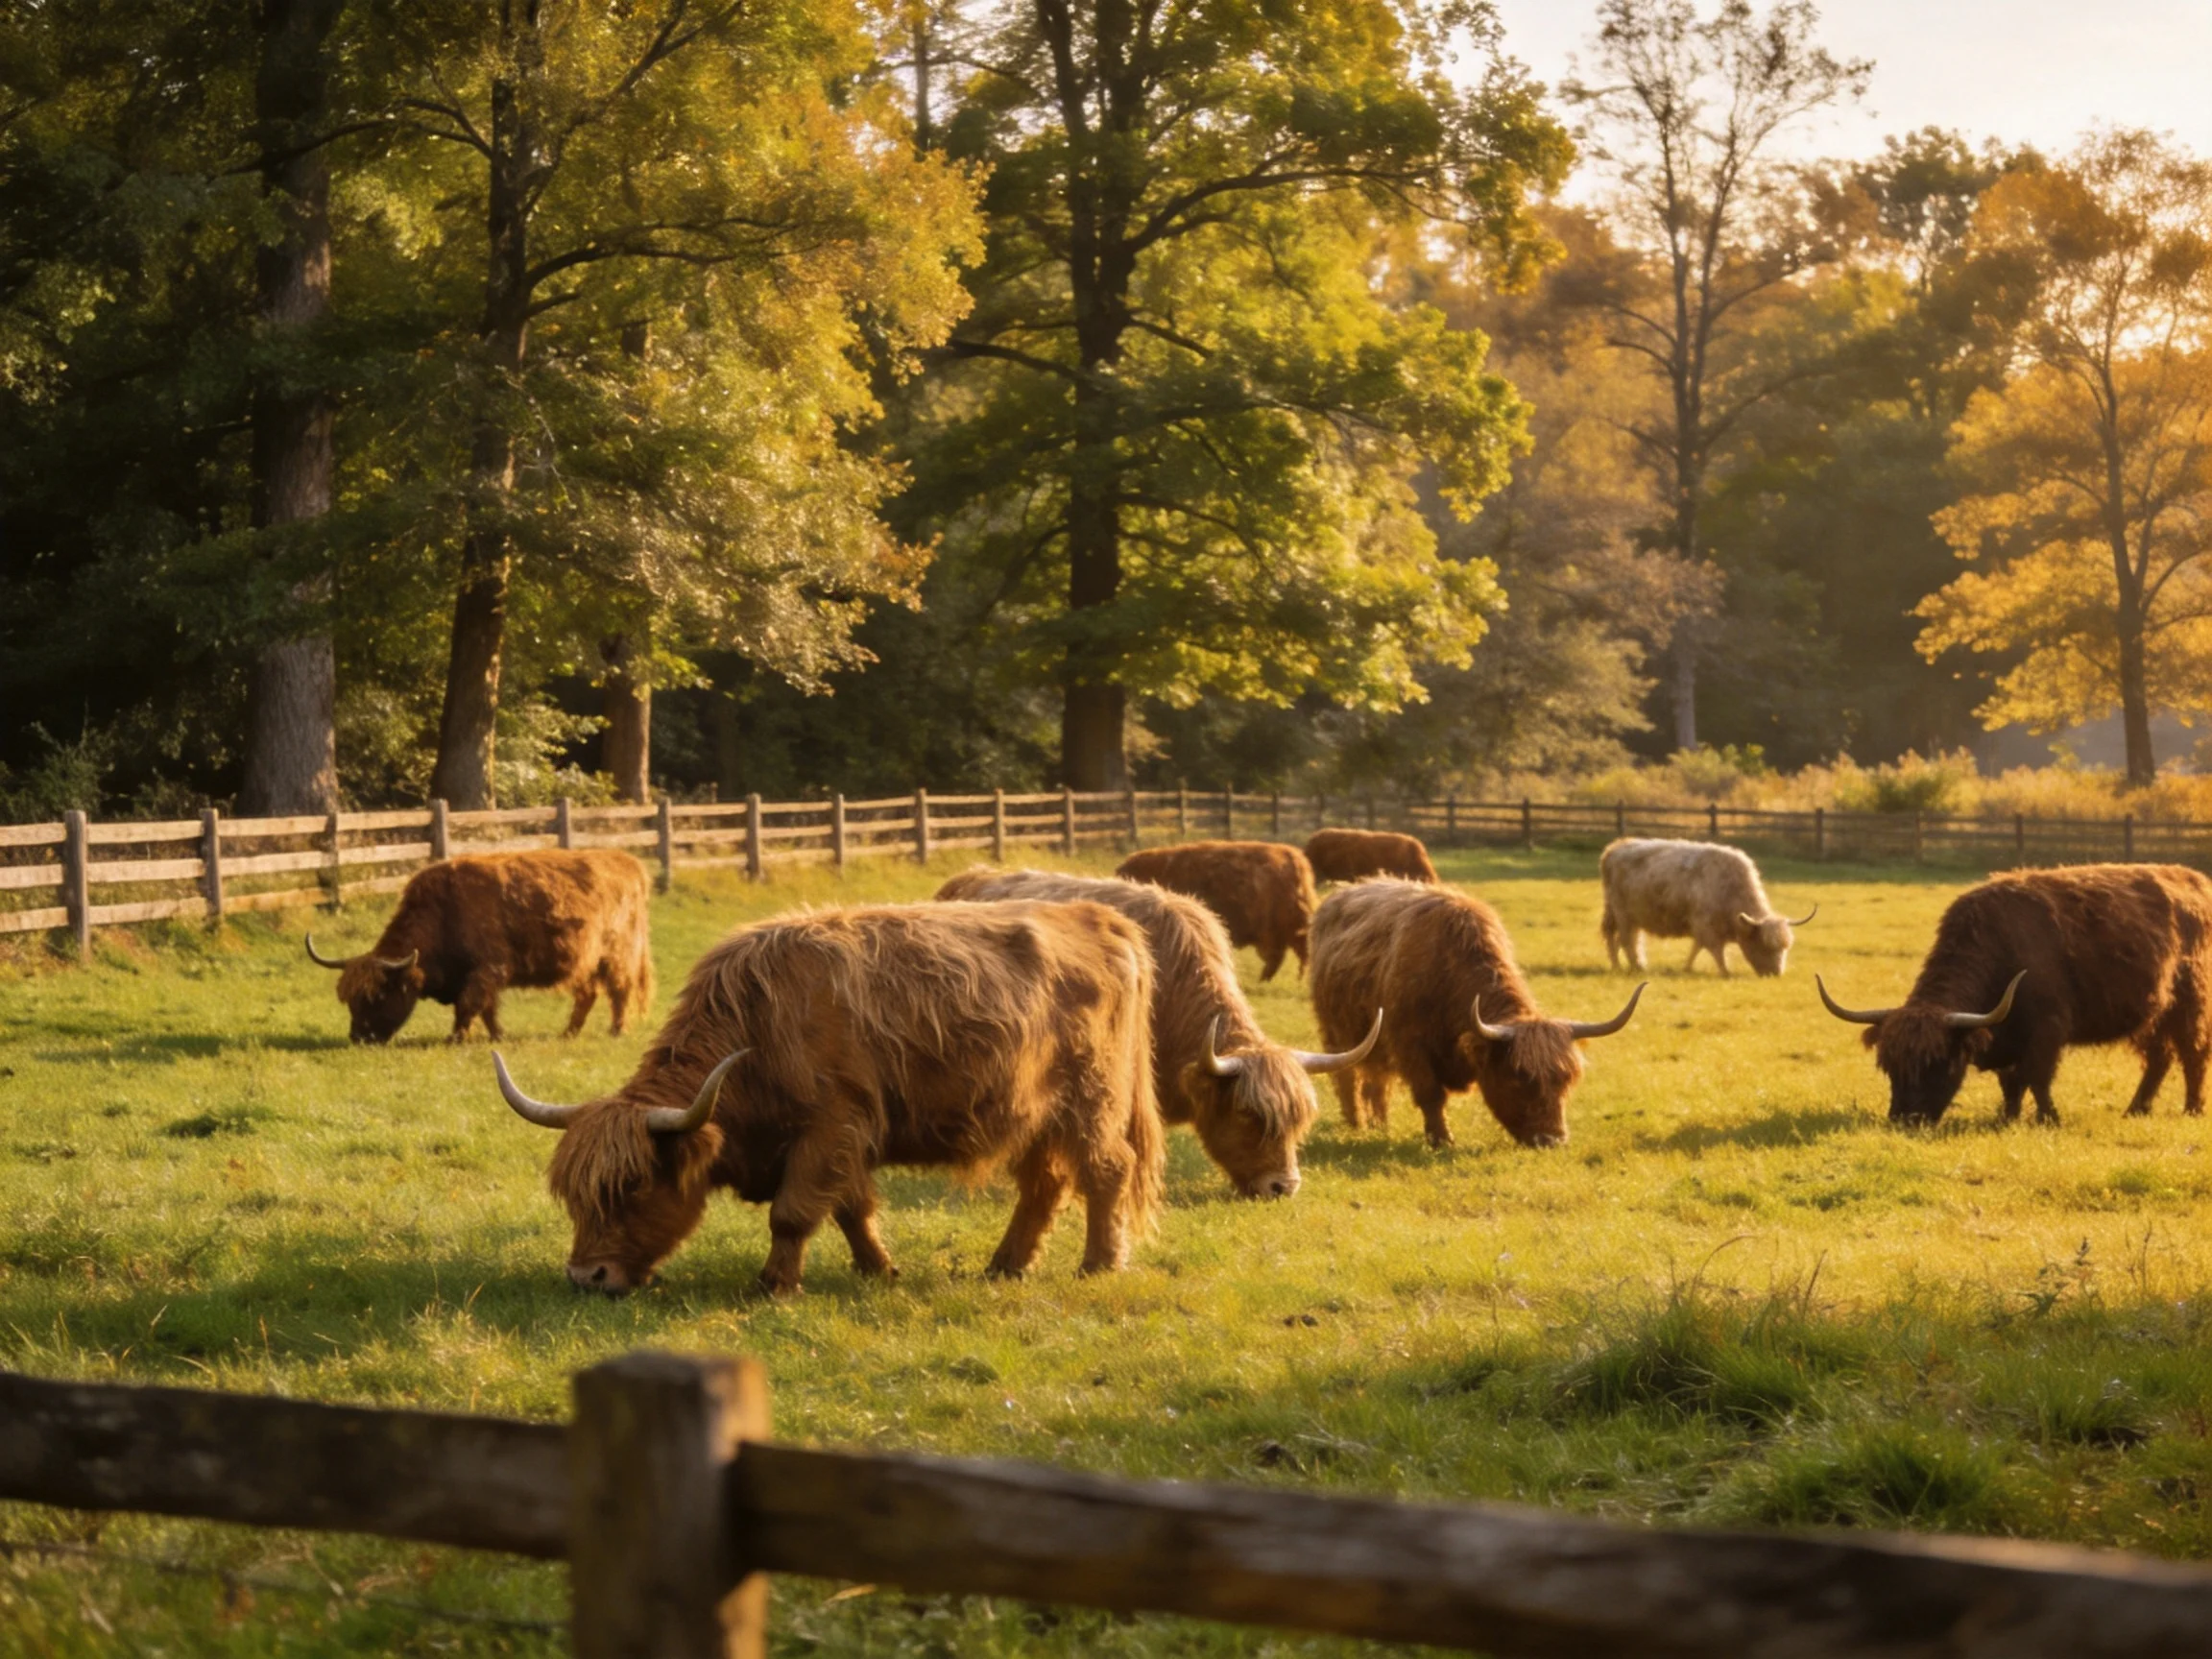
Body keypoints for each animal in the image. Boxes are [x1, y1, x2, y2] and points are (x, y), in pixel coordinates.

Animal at [306, 849, 653, 1044]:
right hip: (586, 963)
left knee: (619, 992)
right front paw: (498, 1035)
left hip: (616, 957)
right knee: (588, 995)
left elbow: (470, 1004)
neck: (445, 911)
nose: (359, 1037)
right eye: (350, 1000)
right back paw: (568, 1033)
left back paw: (617, 1031)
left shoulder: (488, 970)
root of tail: (629, 863)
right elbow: (486, 1008)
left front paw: (456, 1037)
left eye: (377, 995)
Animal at [493, 899, 1164, 1295]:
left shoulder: (829, 1128)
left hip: (1093, 1099)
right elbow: (851, 1208)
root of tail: (1103, 917)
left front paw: (775, 1284)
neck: (758, 1032)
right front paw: (879, 1269)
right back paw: (1006, 1265)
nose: (586, 1276)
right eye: (574, 1197)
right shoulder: (846, 1139)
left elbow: (792, 1213)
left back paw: (1099, 1264)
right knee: (1045, 1183)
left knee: (1107, 1168)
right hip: (1035, 1113)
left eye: (632, 1187)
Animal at [1309, 878, 1644, 1149]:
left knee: (1378, 1080)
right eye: (1519, 1077)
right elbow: (1431, 1095)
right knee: (1346, 1075)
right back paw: (1356, 1123)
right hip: (1336, 1032)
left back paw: (1380, 1124)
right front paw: (1441, 1139)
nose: (1552, 1140)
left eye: (1566, 1079)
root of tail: (1342, 892)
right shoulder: (1411, 1046)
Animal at [1598, 838, 1817, 977]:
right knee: (1624, 940)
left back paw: (1625, 966)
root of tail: (1615, 848)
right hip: (1622, 914)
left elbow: (1696, 947)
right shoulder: (1706, 926)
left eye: (1785, 947)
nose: (1775, 974)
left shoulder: (1703, 928)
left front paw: (1687, 968)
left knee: (1621, 939)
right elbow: (1714, 950)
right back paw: (1632, 967)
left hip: (1631, 917)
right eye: (1764, 946)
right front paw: (1725, 972)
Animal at [1817, 863, 2212, 1127]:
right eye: (1890, 1066)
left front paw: (2049, 1119)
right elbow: (2011, 1081)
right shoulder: (2005, 1033)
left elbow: (2036, 1076)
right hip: (2154, 1013)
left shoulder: (2048, 1028)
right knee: (2159, 1057)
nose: (1905, 1120)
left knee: (2192, 1053)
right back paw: (2136, 1110)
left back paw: (2191, 1109)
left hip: (2190, 1002)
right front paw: (2007, 1118)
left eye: (1937, 1062)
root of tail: (2196, 880)